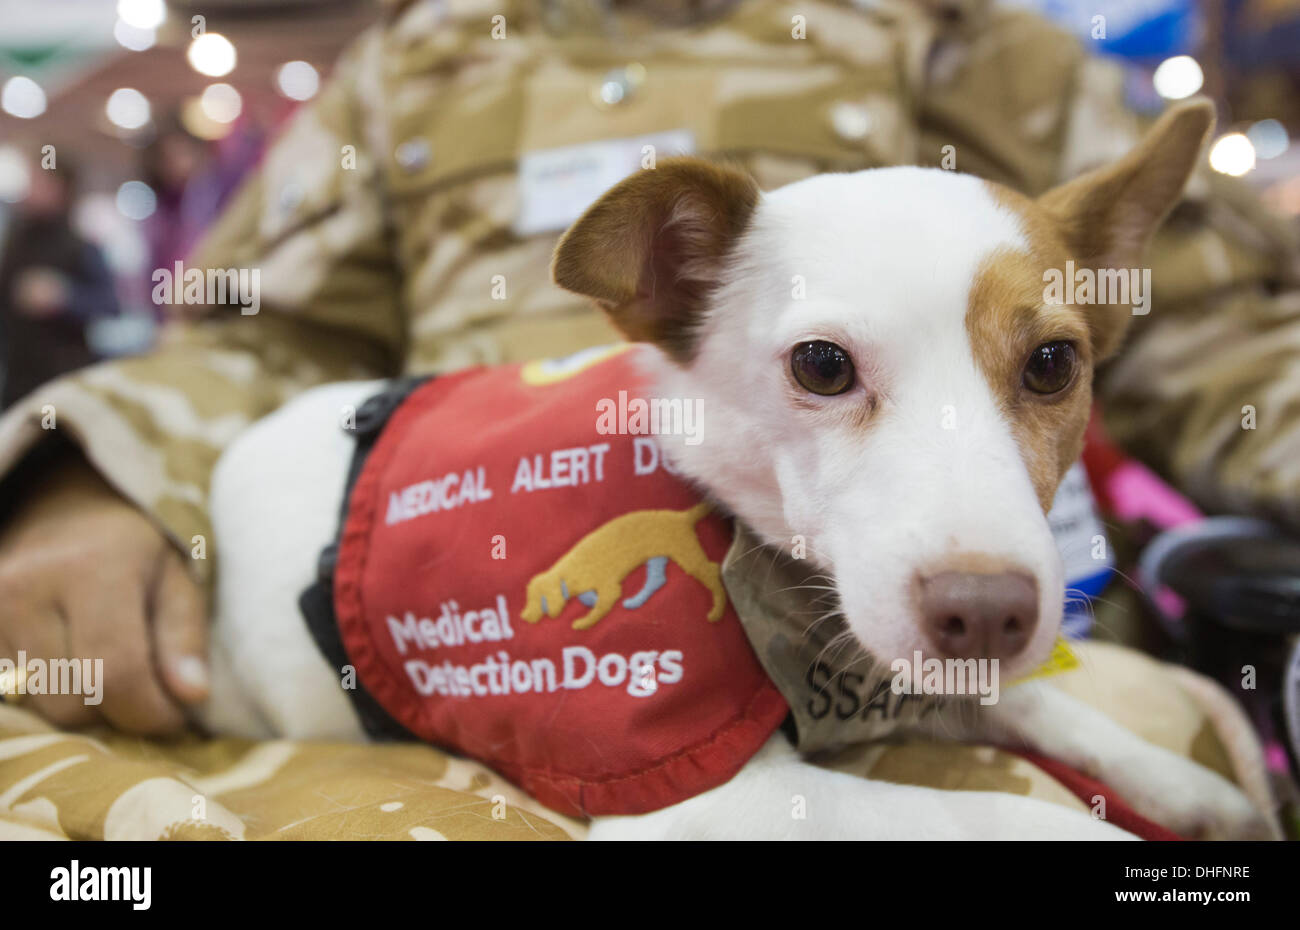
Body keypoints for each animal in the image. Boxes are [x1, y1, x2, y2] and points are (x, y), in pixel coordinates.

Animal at [202, 102, 1279, 842]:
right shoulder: (712, 798)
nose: (986, 614)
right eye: (821, 365)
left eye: (1053, 363)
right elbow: (1006, 818)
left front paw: (1186, 786)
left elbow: (1042, 702)